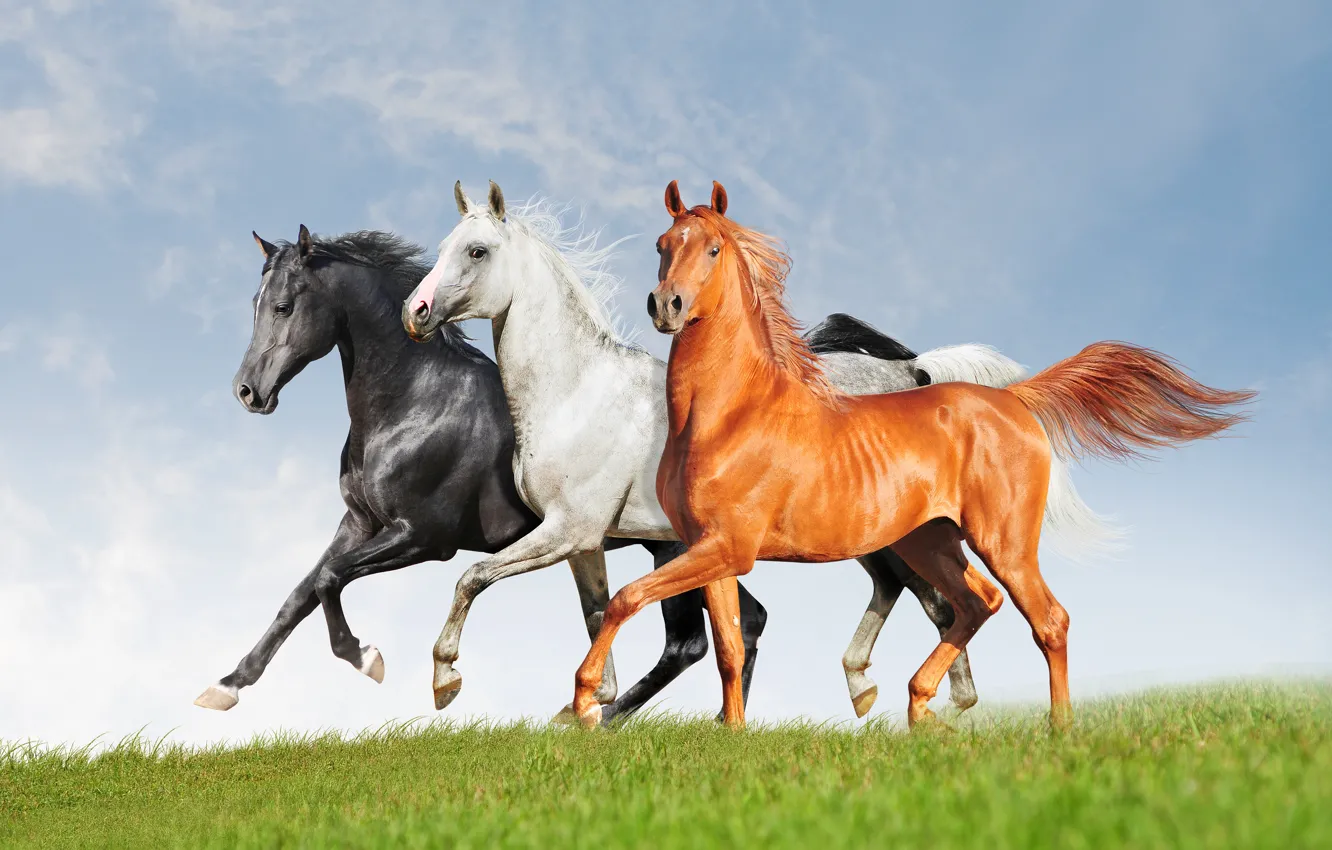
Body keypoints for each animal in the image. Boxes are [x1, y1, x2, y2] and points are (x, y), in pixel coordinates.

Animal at [195, 226, 740, 718]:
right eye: (256, 302)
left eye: (284, 306)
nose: (247, 391)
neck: (415, 403)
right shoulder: (359, 523)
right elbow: (300, 594)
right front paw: (226, 686)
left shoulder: (423, 537)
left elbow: (331, 578)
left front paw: (368, 658)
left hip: (670, 547)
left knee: (689, 643)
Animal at [400, 182, 1061, 719]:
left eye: (477, 251)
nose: (416, 312)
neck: (576, 390)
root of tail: (914, 373)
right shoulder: (584, 542)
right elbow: (595, 613)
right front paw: (586, 708)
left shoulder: (567, 530)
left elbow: (472, 577)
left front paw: (445, 680)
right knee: (921, 597)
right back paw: (888, 692)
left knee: (940, 603)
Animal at [566, 180, 1255, 730]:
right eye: (662, 243)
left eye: (711, 248)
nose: (667, 306)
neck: (731, 414)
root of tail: (1012, 400)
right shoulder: (713, 551)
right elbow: (731, 648)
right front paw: (731, 736)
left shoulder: (725, 547)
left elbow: (627, 600)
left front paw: (583, 703)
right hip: (931, 541)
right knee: (973, 604)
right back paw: (918, 706)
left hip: (1001, 541)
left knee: (1046, 618)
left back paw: (1057, 730)